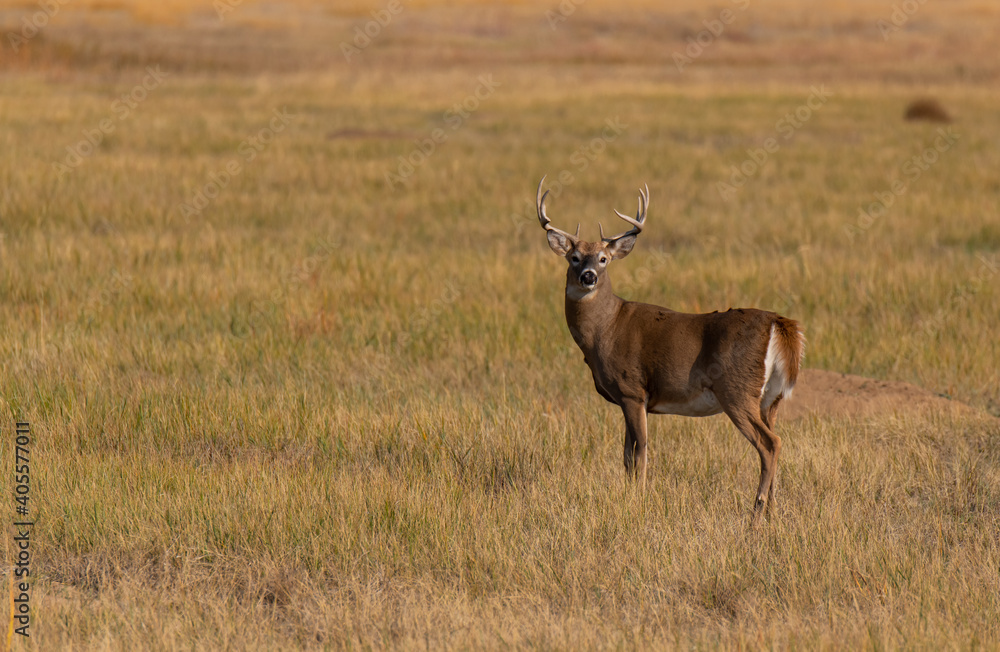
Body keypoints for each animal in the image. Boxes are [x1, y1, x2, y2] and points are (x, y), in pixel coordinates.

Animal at [536, 177, 805, 521]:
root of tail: (778, 323)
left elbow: (640, 451)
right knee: (774, 441)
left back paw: (756, 511)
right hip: (771, 399)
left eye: (603, 258)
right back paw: (772, 509)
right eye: (574, 257)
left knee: (770, 443)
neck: (605, 329)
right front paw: (629, 495)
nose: (588, 276)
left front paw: (637, 501)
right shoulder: (628, 399)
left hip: (737, 389)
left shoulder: (633, 390)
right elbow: (626, 455)